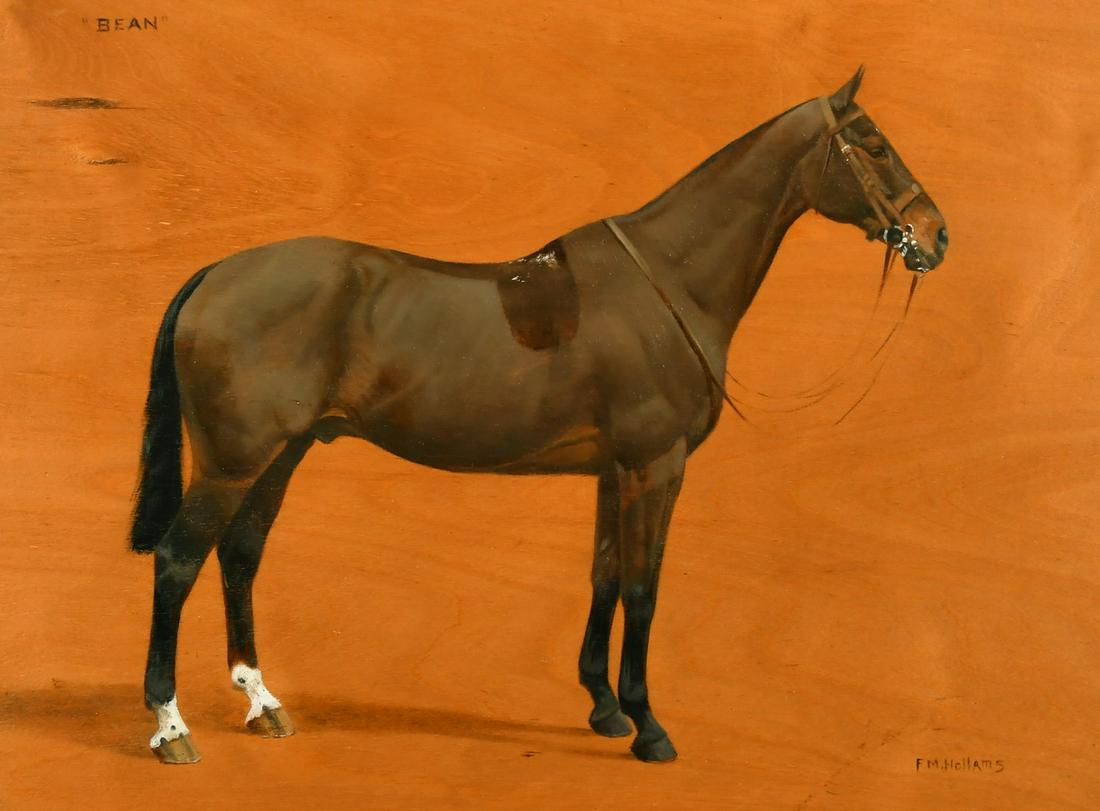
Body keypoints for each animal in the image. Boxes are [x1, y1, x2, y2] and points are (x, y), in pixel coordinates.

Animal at [131, 67, 949, 764]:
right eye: (875, 143)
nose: (935, 235)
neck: (668, 279)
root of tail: (214, 274)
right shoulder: (656, 466)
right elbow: (645, 590)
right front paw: (649, 727)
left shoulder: (616, 471)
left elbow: (605, 576)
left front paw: (604, 708)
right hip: (233, 463)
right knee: (178, 561)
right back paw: (172, 727)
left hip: (280, 454)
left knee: (240, 557)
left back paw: (264, 704)